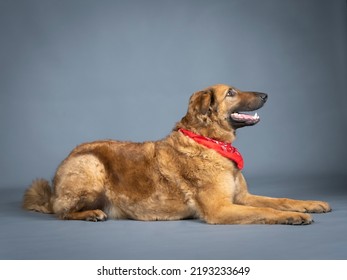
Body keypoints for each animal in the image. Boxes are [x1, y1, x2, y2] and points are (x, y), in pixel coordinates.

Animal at [23, 84, 334, 224]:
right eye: (231, 93)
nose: (267, 95)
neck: (208, 141)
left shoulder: (241, 197)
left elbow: (281, 199)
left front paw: (309, 204)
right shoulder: (221, 209)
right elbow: (265, 210)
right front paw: (292, 217)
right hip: (91, 164)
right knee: (62, 212)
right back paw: (90, 213)